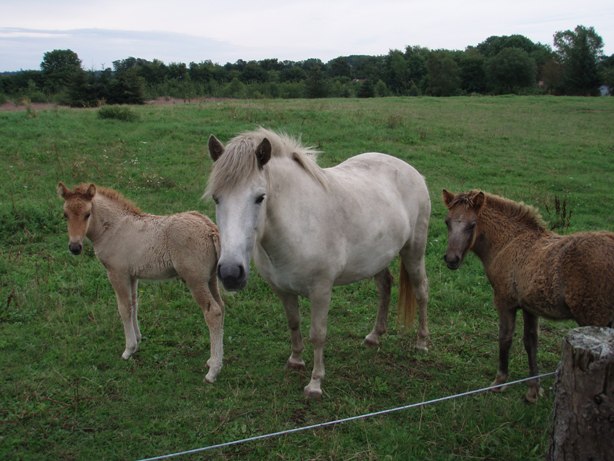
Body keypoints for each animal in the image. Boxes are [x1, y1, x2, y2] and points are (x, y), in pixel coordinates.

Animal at [57, 182, 225, 380]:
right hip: (211, 279)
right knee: (221, 308)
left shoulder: (117, 273)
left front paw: (129, 349)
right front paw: (137, 339)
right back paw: (213, 361)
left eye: (87, 214)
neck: (113, 229)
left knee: (212, 313)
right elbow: (134, 304)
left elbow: (123, 308)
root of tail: (210, 229)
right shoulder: (132, 275)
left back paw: (213, 371)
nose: (75, 247)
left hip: (195, 280)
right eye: (65, 214)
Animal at [205, 127, 430, 398]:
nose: (230, 273)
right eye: (217, 198)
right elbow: (293, 323)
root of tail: (411, 170)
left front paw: (315, 383)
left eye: (260, 197)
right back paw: (375, 336)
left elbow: (318, 334)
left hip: (414, 251)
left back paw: (422, 342)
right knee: (385, 286)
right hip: (377, 258)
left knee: (421, 291)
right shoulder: (282, 290)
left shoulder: (321, 290)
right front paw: (295, 360)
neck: (298, 224)